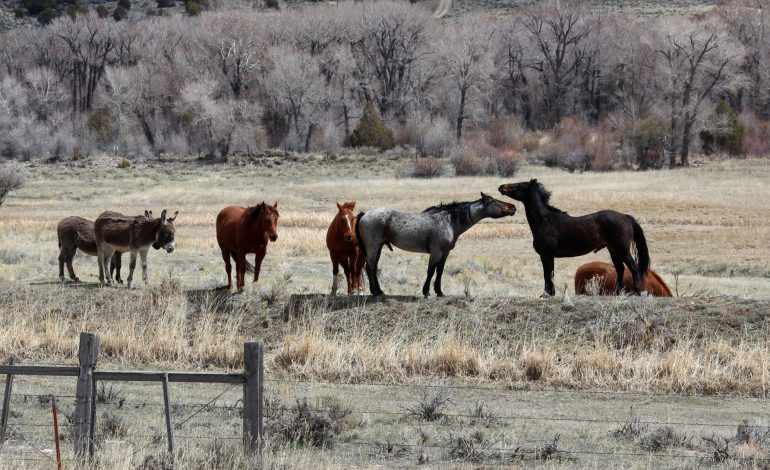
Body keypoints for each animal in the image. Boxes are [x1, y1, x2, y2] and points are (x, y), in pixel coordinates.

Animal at [355, 193, 516, 297]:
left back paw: (379, 291)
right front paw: (426, 292)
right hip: (373, 247)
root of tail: (365, 214)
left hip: (378, 248)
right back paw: (376, 292)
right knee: (370, 267)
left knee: (373, 267)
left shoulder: (445, 253)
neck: (448, 221)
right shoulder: (436, 252)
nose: (513, 207)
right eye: (494, 201)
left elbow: (439, 271)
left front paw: (439, 292)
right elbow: (431, 271)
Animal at [498, 179, 649, 297]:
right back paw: (616, 293)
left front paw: (547, 294)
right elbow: (549, 274)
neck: (545, 221)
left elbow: (548, 274)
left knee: (633, 268)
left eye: (519, 185)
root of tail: (625, 217)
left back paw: (637, 292)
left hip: (622, 250)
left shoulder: (546, 255)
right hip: (614, 250)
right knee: (620, 269)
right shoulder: (548, 256)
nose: (501, 186)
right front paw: (549, 294)